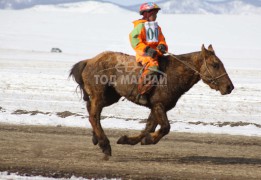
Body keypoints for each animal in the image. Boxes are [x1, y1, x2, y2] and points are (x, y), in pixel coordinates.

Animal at [69, 44, 234, 160]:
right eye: (215, 64)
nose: (229, 87)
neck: (173, 73)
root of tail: (89, 61)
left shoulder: (157, 107)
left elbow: (148, 127)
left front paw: (128, 139)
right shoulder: (158, 105)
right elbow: (165, 127)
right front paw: (148, 140)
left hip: (110, 96)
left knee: (91, 110)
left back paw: (96, 138)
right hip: (100, 95)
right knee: (94, 116)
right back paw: (104, 145)